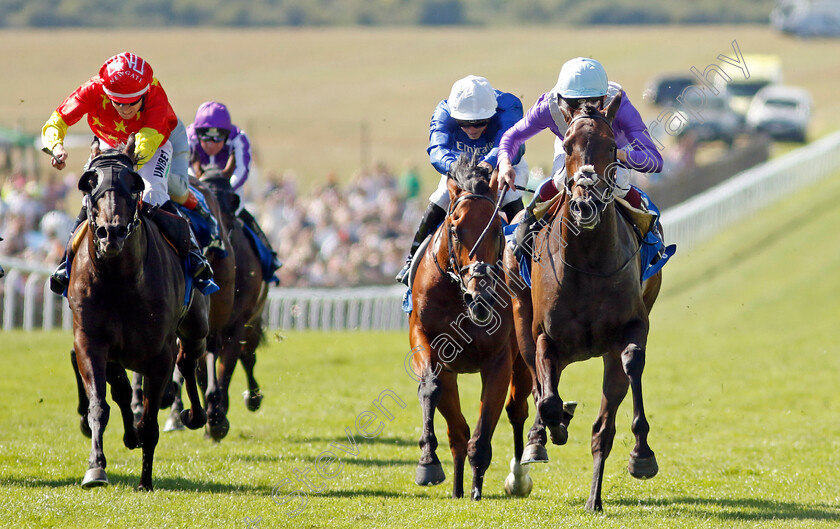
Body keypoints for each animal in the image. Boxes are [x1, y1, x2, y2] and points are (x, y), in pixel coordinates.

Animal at [67, 137, 208, 490]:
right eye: (89, 183)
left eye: (134, 185)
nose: (112, 232)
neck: (120, 278)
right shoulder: (90, 341)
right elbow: (100, 405)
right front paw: (95, 469)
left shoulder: (159, 353)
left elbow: (150, 420)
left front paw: (145, 481)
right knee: (121, 390)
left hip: (195, 325)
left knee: (188, 359)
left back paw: (195, 415)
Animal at [406, 156, 532, 500]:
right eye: (454, 227)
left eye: (497, 228)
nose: (480, 297)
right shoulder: (426, 342)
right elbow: (433, 391)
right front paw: (428, 464)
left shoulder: (499, 360)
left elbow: (484, 427)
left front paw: (477, 488)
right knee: (458, 429)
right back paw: (458, 486)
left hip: (523, 360)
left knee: (517, 409)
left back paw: (518, 477)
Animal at [506, 95, 664, 512]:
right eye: (566, 146)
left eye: (611, 147)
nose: (584, 205)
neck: (590, 260)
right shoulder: (546, 337)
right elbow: (546, 398)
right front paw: (553, 428)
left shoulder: (633, 326)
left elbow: (632, 363)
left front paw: (642, 455)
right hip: (522, 320)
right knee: (538, 384)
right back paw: (541, 438)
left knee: (603, 425)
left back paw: (595, 497)